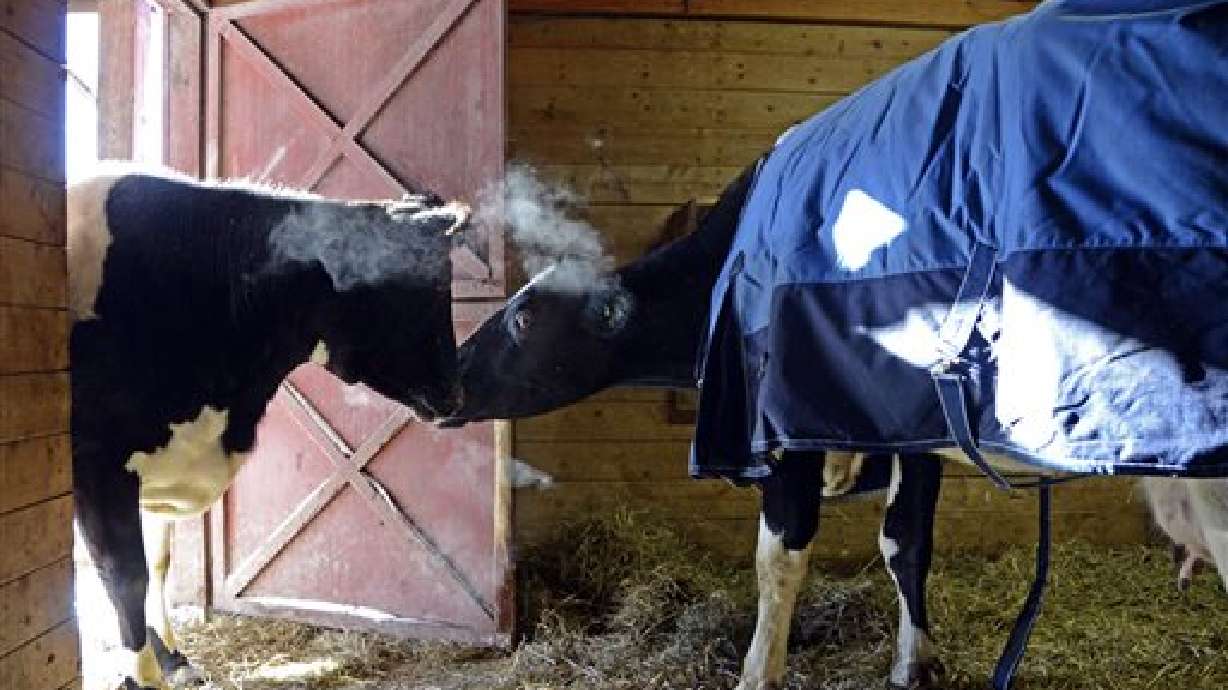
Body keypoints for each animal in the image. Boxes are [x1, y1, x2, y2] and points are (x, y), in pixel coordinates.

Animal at [68, 167, 467, 689]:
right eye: (423, 292)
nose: (456, 393)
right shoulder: (97, 462)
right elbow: (125, 572)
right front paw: (142, 677)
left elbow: (157, 564)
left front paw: (173, 659)